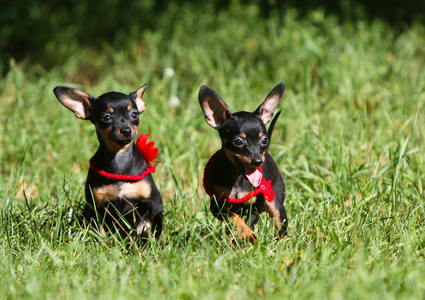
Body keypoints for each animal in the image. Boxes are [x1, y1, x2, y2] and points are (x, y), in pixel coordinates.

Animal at [53, 84, 163, 239]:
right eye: (107, 117)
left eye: (134, 114)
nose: (126, 130)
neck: (119, 157)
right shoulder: (96, 206)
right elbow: (100, 232)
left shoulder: (155, 203)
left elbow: (150, 228)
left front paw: (146, 241)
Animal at [200, 82, 288, 244]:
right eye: (238, 141)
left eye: (264, 140)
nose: (258, 161)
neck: (238, 178)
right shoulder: (218, 207)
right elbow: (235, 219)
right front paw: (246, 234)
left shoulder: (257, 207)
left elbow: (248, 222)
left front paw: (246, 235)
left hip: (275, 203)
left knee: (280, 222)